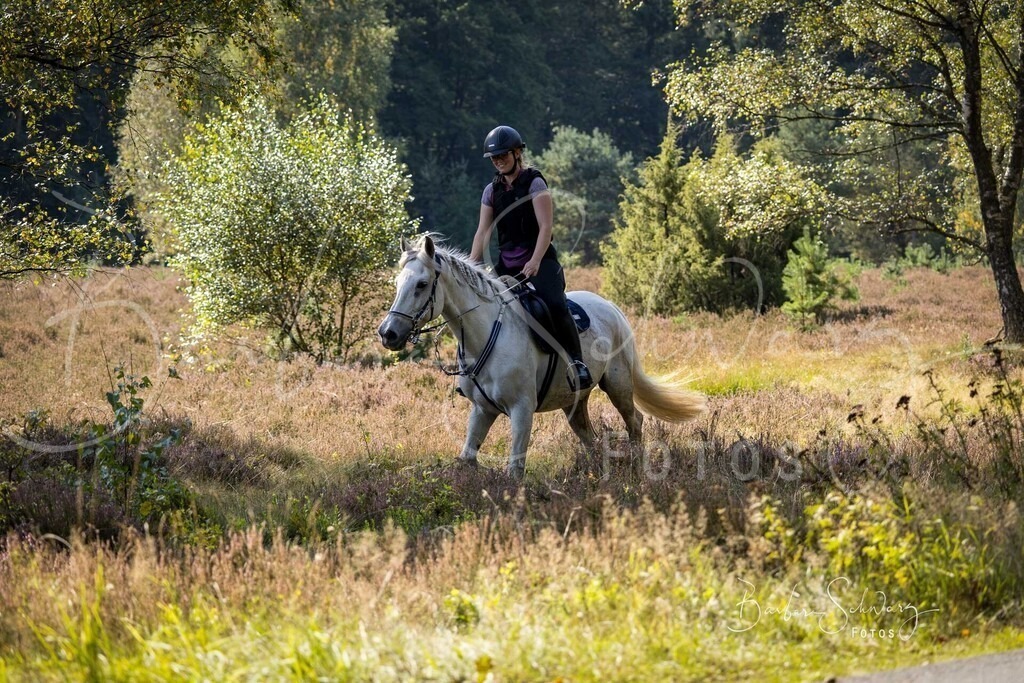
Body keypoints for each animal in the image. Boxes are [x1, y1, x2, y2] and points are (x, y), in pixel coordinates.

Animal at [377, 235, 706, 479]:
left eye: (421, 285)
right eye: (397, 284)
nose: (388, 333)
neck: (485, 334)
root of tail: (611, 307)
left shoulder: (522, 409)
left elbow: (515, 469)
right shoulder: (482, 410)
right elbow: (467, 458)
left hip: (619, 384)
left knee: (634, 420)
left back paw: (637, 468)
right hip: (574, 401)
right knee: (588, 435)